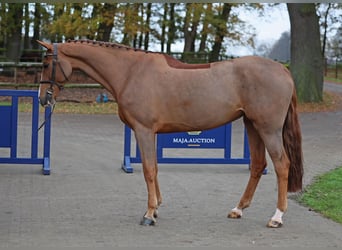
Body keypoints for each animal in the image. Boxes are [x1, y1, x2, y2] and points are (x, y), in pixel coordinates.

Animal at [38, 39, 304, 229]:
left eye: (45, 65)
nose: (43, 99)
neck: (130, 72)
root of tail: (283, 70)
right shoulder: (151, 132)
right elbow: (154, 168)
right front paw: (156, 208)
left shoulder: (144, 130)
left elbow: (148, 170)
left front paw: (149, 214)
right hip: (252, 125)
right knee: (258, 165)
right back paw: (238, 209)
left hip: (268, 129)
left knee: (282, 165)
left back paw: (277, 217)